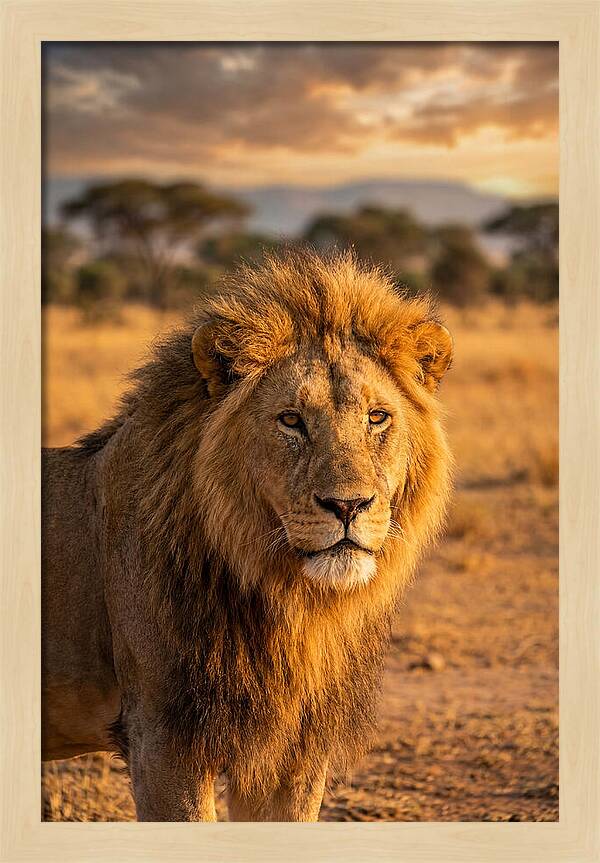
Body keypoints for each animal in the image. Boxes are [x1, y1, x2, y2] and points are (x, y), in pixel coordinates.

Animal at [42, 250, 453, 821]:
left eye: (377, 417)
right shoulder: (163, 742)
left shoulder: (293, 754)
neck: (290, 603)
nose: (348, 506)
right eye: (291, 420)